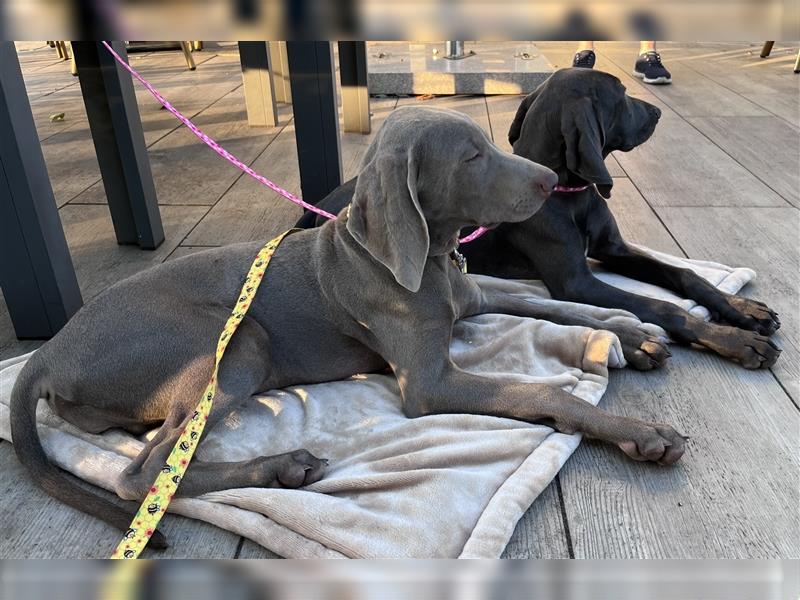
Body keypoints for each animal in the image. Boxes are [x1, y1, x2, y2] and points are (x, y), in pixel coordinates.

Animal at [9, 105, 684, 548]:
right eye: (472, 156)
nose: (551, 183)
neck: (428, 259)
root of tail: (48, 353)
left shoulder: (475, 295)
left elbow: (563, 309)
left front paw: (635, 335)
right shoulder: (429, 385)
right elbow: (543, 391)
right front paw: (640, 431)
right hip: (234, 345)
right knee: (142, 474)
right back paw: (282, 466)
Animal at [296, 71, 780, 370]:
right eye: (622, 97)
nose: (659, 113)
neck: (571, 196)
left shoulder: (613, 250)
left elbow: (685, 275)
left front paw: (741, 310)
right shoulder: (576, 282)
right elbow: (664, 307)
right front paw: (735, 341)